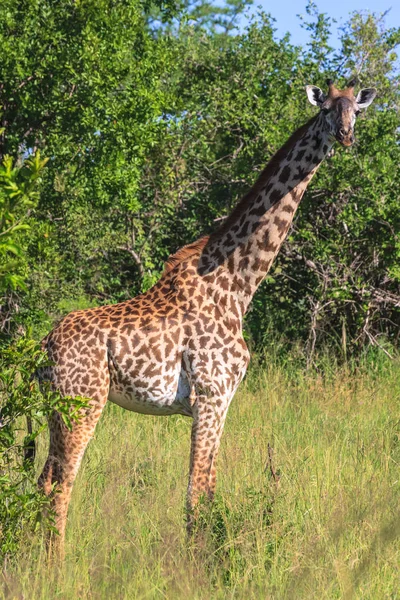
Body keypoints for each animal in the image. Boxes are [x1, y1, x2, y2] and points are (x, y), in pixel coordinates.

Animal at [36, 81, 376, 548]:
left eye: (354, 111)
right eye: (325, 109)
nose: (344, 136)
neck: (236, 286)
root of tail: (42, 349)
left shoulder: (224, 400)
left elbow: (209, 492)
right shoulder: (210, 395)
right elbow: (196, 498)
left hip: (57, 408)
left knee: (42, 482)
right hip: (83, 402)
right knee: (61, 485)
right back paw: (56, 562)